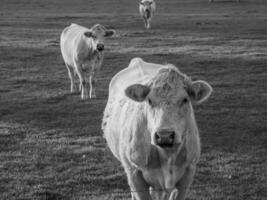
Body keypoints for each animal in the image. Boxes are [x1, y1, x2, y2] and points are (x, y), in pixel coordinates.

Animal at [102, 57, 214, 200]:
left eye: (185, 99)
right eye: (149, 100)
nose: (164, 135)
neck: (168, 154)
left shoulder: (189, 171)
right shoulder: (134, 173)